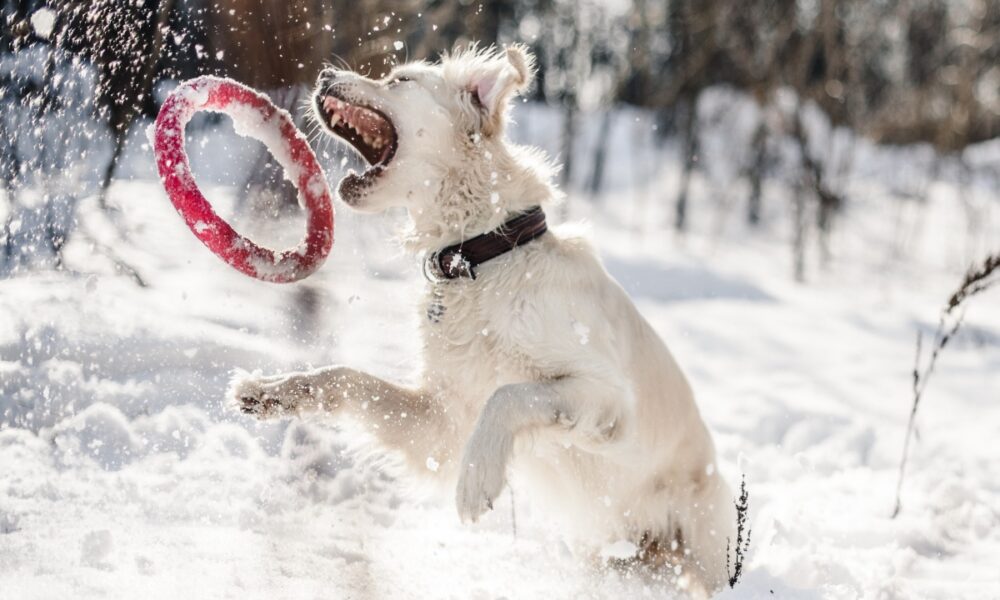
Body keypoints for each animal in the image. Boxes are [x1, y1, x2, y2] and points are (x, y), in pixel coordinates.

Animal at [232, 44, 736, 592]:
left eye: (399, 80)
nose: (324, 72)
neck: (483, 255)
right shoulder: (443, 421)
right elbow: (345, 376)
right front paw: (271, 390)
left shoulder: (608, 397)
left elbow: (510, 394)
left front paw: (477, 479)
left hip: (703, 547)